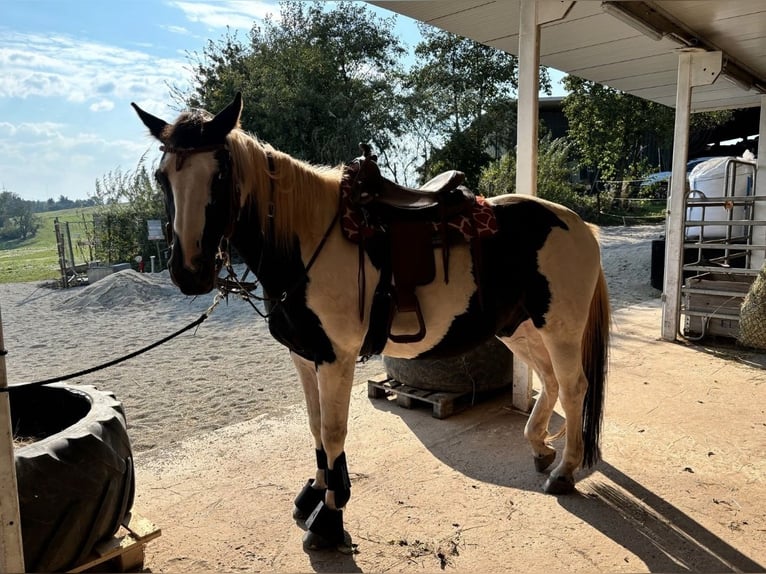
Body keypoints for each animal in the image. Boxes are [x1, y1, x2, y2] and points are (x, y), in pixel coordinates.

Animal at [134, 92, 612, 552]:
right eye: (161, 176)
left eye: (220, 175)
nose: (189, 271)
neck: (306, 243)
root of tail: (579, 224)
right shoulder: (304, 357)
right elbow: (315, 426)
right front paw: (316, 492)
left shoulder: (335, 359)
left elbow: (333, 431)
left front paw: (329, 519)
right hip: (518, 327)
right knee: (550, 381)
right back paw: (540, 448)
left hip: (560, 329)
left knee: (574, 387)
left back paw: (564, 471)